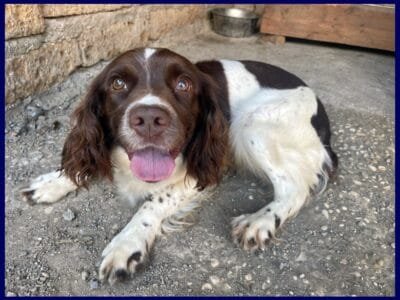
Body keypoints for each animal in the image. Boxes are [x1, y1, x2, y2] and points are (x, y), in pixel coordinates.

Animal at [20, 47, 336, 284]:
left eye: (184, 84)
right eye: (117, 83)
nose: (149, 119)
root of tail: (319, 106)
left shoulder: (203, 168)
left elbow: (155, 201)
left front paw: (127, 244)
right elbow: (84, 164)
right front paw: (53, 181)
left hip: (251, 124)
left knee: (295, 190)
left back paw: (260, 221)